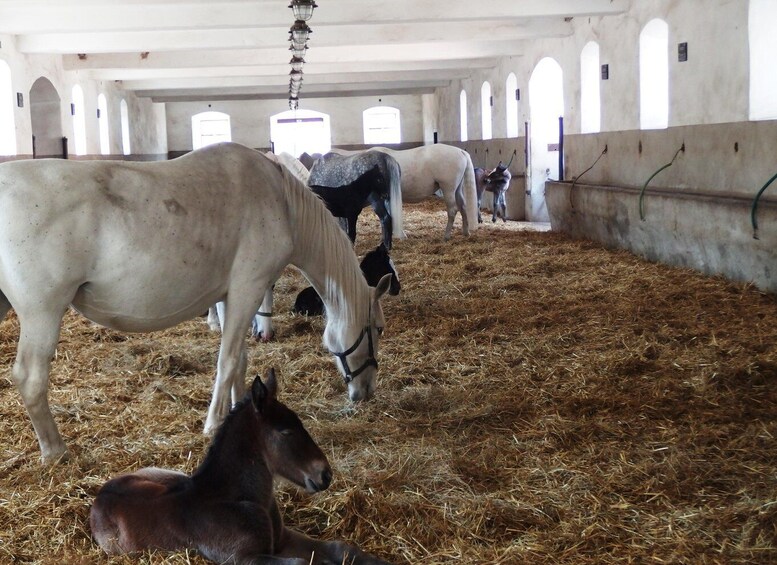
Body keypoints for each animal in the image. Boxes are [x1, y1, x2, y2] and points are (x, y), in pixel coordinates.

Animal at [0, 142, 391, 463]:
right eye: (379, 329)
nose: (367, 391)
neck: (281, 201)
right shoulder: (248, 288)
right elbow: (228, 360)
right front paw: (214, 423)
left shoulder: (232, 296)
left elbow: (240, 360)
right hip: (42, 313)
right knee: (30, 378)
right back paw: (55, 451)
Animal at [90, 368, 391, 565]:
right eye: (285, 432)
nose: (325, 474)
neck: (237, 499)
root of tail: (100, 495)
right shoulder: (243, 559)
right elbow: (304, 562)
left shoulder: (282, 539)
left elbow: (341, 549)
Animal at [332, 144, 478, 241]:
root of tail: (460, 151)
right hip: (457, 189)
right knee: (463, 207)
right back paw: (466, 232)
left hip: (448, 189)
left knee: (453, 210)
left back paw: (446, 236)